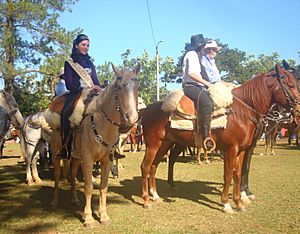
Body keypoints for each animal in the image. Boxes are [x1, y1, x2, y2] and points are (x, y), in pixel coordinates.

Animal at [46, 63, 141, 228]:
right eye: (119, 87)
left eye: (137, 87)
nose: (132, 118)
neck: (101, 123)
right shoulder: (88, 160)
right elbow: (89, 187)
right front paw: (89, 218)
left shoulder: (106, 161)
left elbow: (103, 186)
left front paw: (103, 216)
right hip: (57, 153)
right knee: (57, 174)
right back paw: (54, 200)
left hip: (76, 157)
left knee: (72, 174)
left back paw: (74, 199)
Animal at [140, 63, 300, 213]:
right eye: (291, 85)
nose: (297, 110)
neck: (241, 112)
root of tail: (146, 110)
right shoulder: (231, 149)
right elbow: (228, 174)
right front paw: (226, 204)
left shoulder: (242, 149)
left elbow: (238, 173)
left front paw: (239, 202)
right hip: (153, 144)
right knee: (145, 166)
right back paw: (146, 200)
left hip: (165, 144)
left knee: (154, 165)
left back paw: (156, 195)